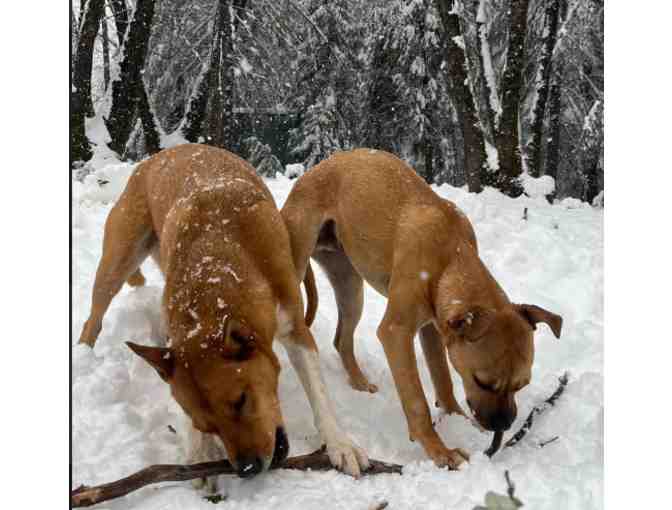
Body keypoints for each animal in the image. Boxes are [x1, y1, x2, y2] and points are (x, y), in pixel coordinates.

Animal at [81, 144, 370, 486]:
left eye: (241, 400)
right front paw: (199, 454)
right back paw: (82, 355)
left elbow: (319, 393)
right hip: (117, 259)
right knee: (93, 318)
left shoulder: (296, 328)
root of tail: (157, 156)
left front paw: (340, 443)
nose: (247, 468)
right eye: (207, 425)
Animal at [280, 147, 560, 470]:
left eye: (522, 385)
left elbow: (443, 379)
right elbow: (416, 401)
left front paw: (455, 418)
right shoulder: (396, 332)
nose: (502, 426)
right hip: (296, 267)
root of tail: (312, 171)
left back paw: (359, 383)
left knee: (342, 340)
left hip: (350, 286)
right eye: (483, 382)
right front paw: (440, 450)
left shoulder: (434, 329)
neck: (451, 254)